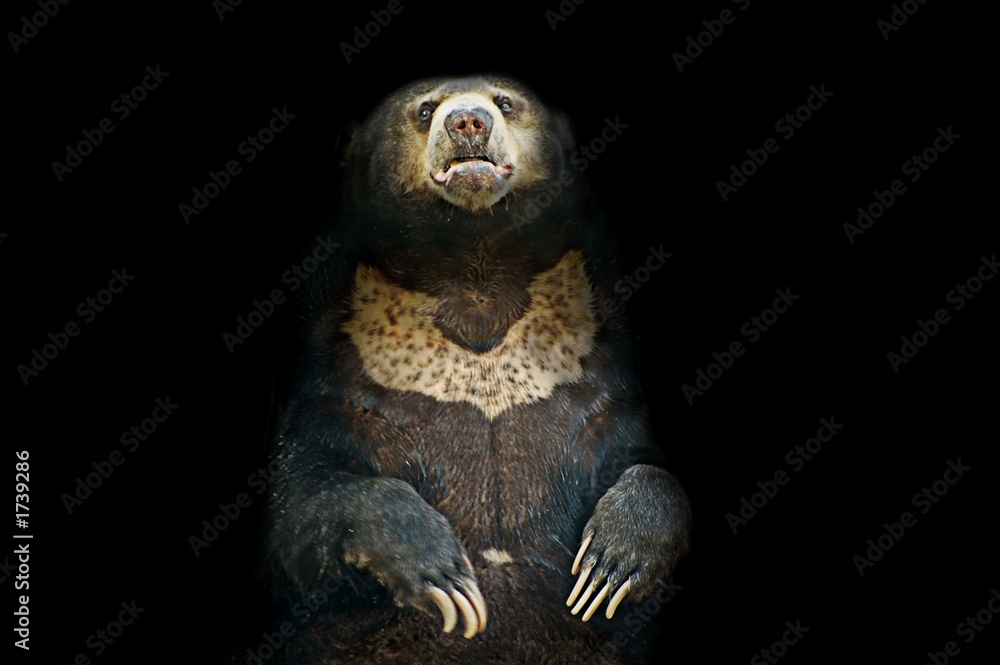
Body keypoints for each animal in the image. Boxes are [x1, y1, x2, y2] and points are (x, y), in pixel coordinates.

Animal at [262, 74, 691, 665]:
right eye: (425, 110)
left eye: (505, 102)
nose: (468, 121)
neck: (475, 277)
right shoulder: (342, 380)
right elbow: (301, 503)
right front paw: (446, 577)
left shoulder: (592, 376)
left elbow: (643, 462)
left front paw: (609, 566)